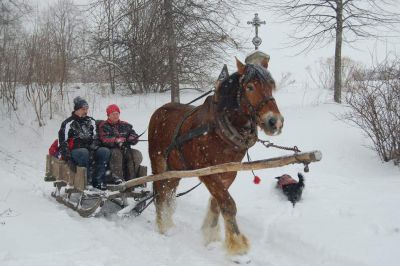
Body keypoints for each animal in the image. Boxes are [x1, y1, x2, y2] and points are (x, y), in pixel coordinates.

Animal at [148, 57, 282, 258]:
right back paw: (162, 226)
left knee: (168, 190)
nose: (275, 122)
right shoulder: (206, 170)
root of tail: (159, 110)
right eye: (250, 87)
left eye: (271, 86)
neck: (219, 127)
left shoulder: (229, 171)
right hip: (158, 161)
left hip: (176, 168)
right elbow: (228, 203)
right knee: (160, 191)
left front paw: (210, 235)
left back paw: (168, 222)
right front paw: (238, 246)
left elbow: (217, 202)